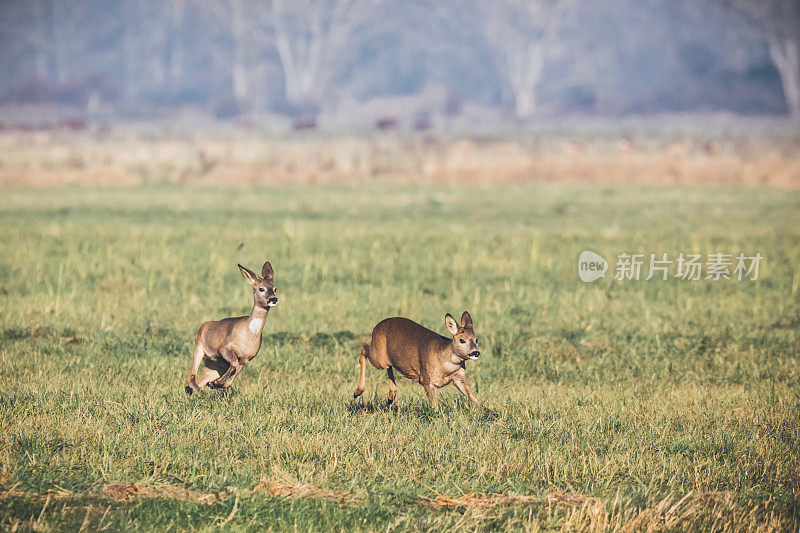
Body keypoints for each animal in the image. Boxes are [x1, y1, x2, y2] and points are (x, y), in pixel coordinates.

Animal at [185, 260, 278, 392]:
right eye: (261, 289)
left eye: (275, 288)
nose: (273, 299)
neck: (249, 336)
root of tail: (204, 325)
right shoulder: (224, 348)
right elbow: (233, 364)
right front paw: (216, 383)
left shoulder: (246, 358)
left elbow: (229, 381)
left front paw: (216, 384)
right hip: (199, 348)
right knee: (191, 376)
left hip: (215, 365)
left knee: (197, 380)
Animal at [354, 310, 484, 410]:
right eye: (462, 340)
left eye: (476, 339)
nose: (475, 352)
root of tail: (376, 327)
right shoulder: (426, 380)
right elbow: (435, 407)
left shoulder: (459, 376)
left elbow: (472, 397)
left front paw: (487, 412)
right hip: (378, 358)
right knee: (364, 348)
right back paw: (358, 392)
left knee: (388, 365)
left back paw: (391, 397)